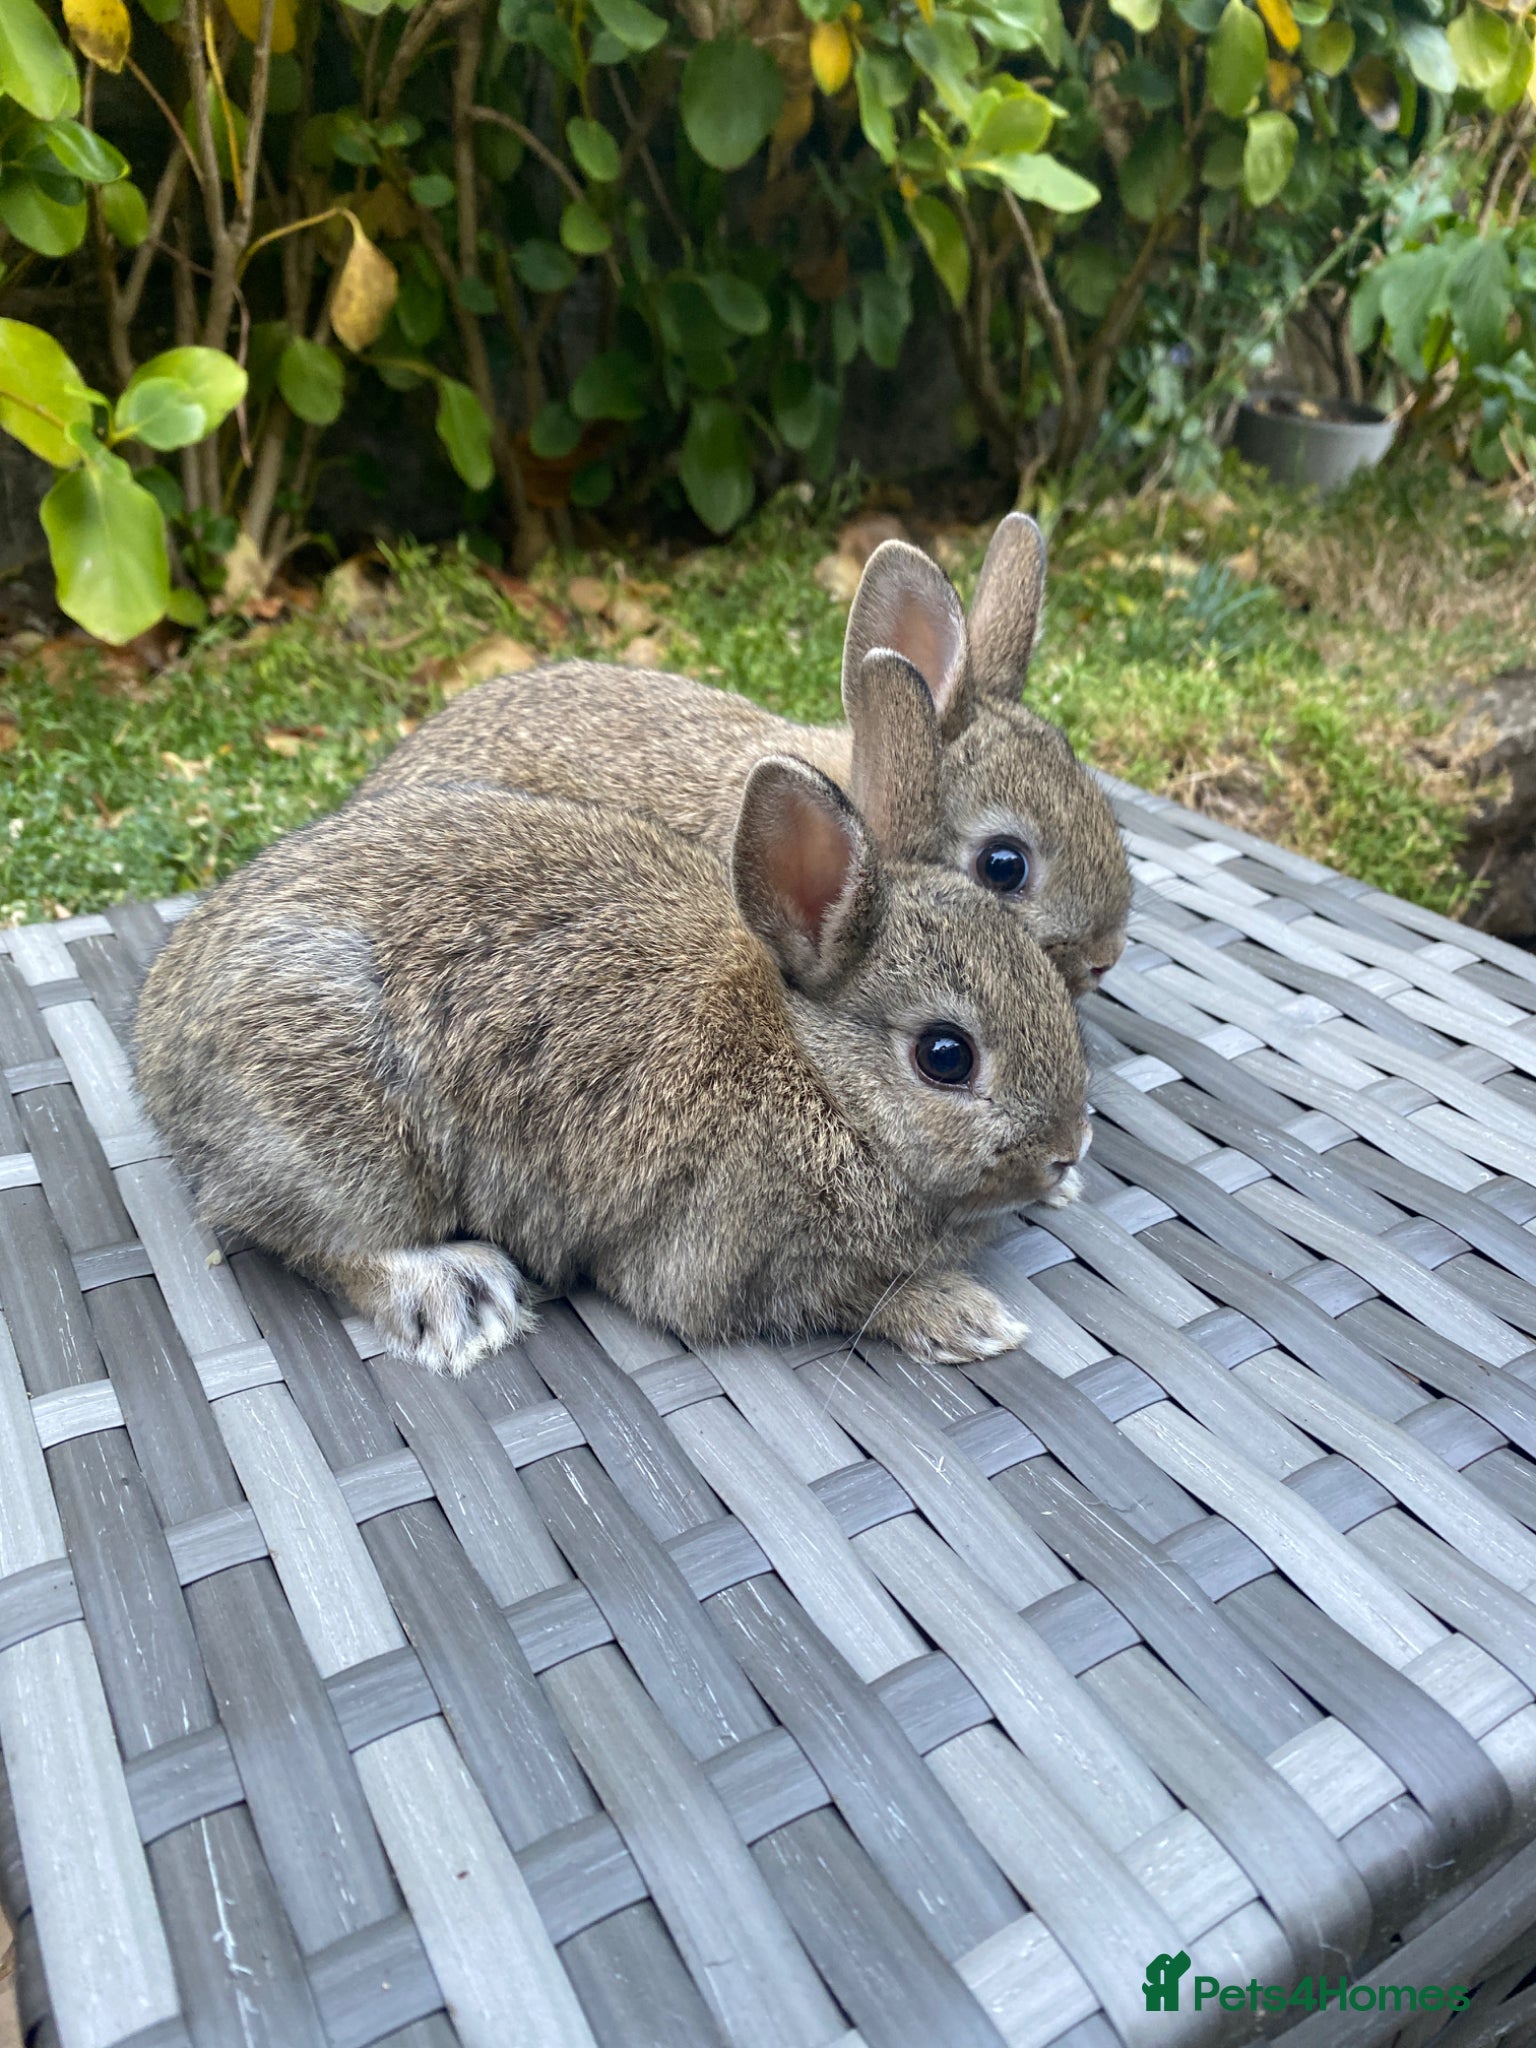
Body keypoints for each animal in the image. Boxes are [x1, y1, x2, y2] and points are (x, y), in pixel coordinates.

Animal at [135, 656, 1091, 1379]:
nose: (1065, 1149)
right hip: (335, 1131)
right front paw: (967, 1315)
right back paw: (458, 1297)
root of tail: (157, 1053)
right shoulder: (719, 1262)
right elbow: (847, 1298)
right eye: (945, 1056)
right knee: (308, 1235)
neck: (819, 1073)